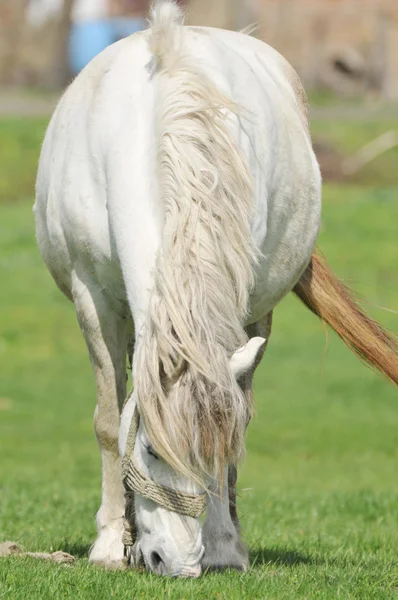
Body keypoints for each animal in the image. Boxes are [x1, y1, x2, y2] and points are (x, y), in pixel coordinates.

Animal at [35, 2, 396, 580]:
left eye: (202, 453)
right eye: (151, 452)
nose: (176, 562)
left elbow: (235, 419)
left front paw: (225, 546)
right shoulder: (93, 299)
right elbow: (110, 421)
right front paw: (111, 543)